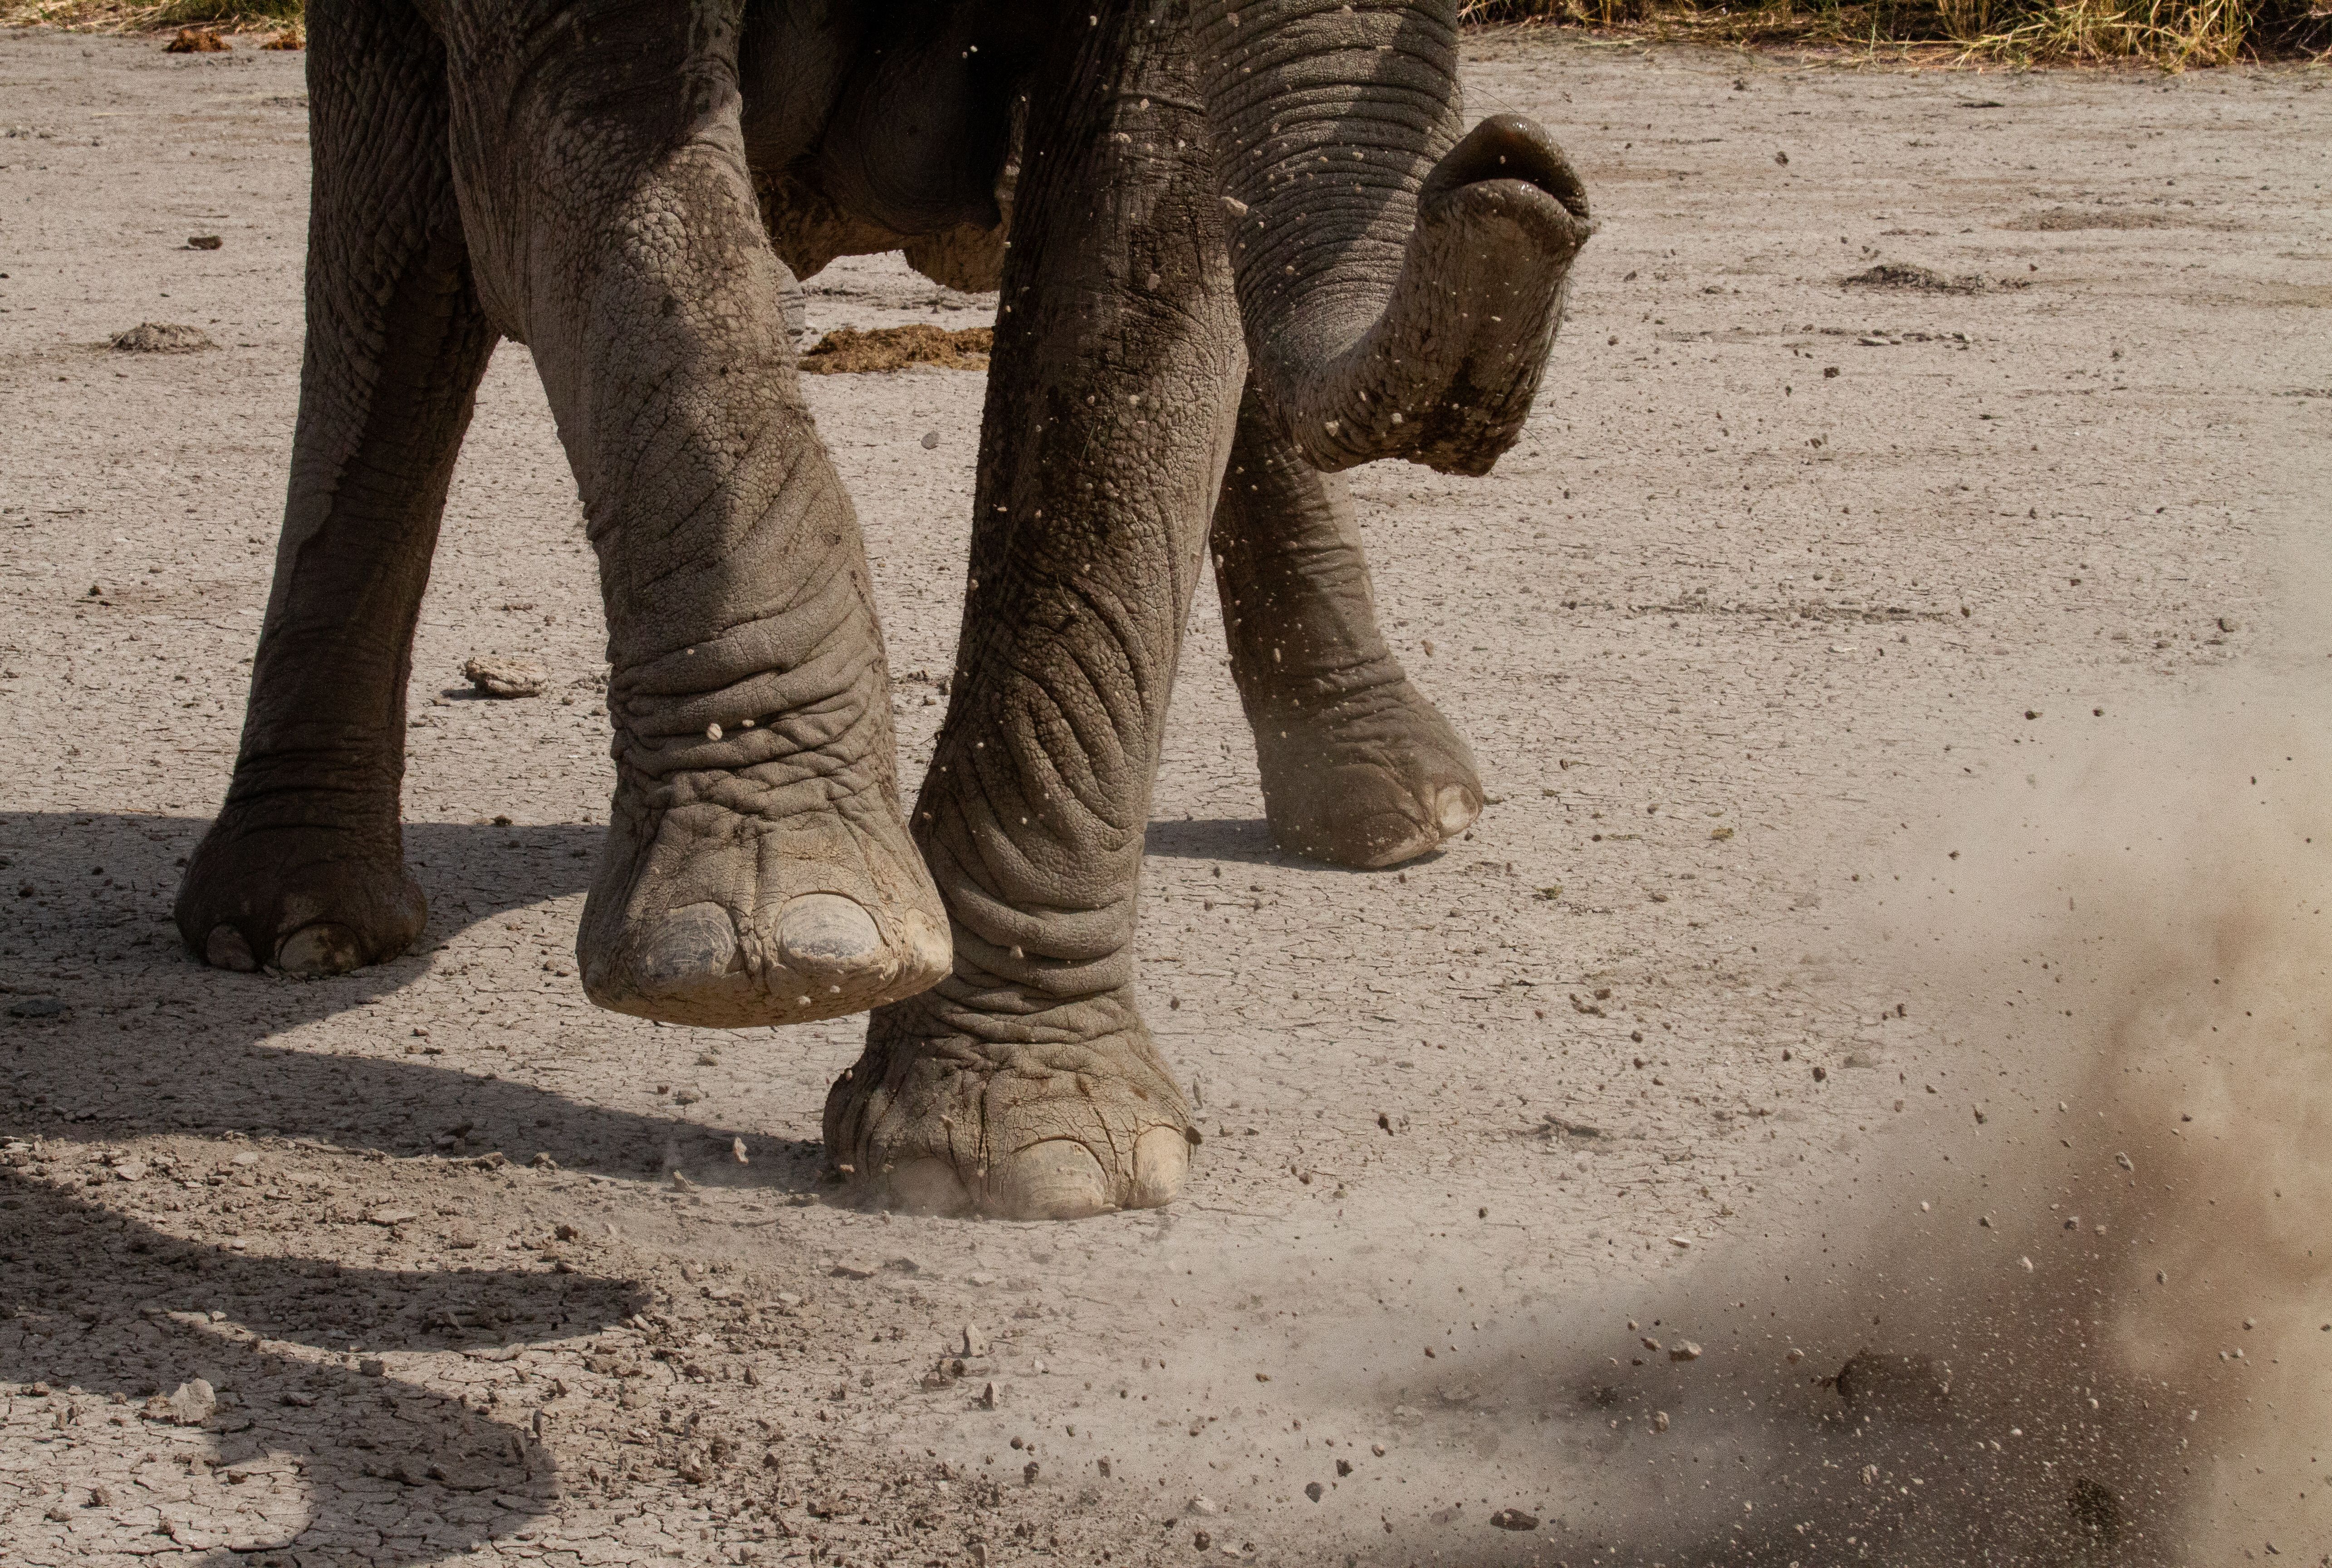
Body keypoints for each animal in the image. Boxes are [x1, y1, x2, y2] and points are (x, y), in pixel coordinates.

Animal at [172, 0, 1593, 1220]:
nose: (1517, 168)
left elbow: (1139, 253)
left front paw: (1022, 1170)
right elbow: (587, 168)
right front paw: (780, 946)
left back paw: (1399, 818)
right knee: (398, 273)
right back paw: (293, 935)